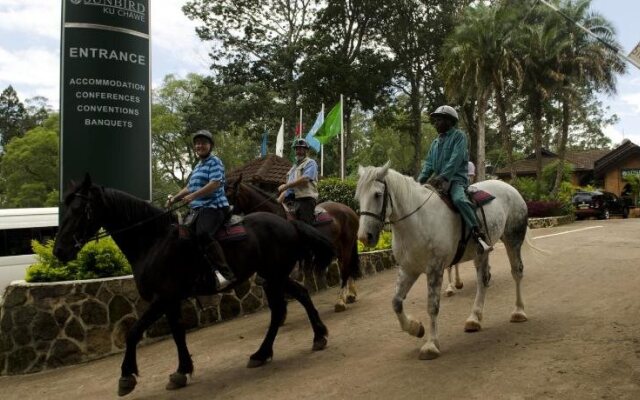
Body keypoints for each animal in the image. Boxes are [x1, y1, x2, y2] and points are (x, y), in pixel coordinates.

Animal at [53, 177, 336, 396]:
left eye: (79, 209)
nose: (59, 251)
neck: (153, 241)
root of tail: (288, 222)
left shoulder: (162, 298)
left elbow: (133, 332)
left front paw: (126, 377)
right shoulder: (171, 300)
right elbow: (178, 333)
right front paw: (182, 371)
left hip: (274, 276)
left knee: (279, 310)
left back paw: (268, 350)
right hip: (274, 275)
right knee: (299, 295)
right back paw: (310, 338)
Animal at [229, 178, 360, 312]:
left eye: (230, 194)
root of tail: (348, 209)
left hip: (346, 244)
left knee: (345, 268)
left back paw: (340, 301)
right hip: (338, 246)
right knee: (345, 265)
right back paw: (350, 295)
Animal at [356, 162, 528, 360]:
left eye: (377, 194)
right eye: (358, 196)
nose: (364, 237)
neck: (417, 220)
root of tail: (510, 188)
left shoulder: (434, 269)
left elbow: (432, 306)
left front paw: (431, 344)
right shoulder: (408, 269)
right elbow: (396, 302)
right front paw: (415, 328)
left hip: (513, 239)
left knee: (516, 272)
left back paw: (518, 312)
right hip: (481, 252)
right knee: (483, 280)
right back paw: (474, 318)